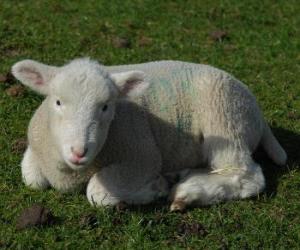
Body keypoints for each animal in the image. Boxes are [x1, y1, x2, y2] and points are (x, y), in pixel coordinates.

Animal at [11, 58, 288, 211]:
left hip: (224, 119)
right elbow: (31, 178)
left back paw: (188, 192)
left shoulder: (142, 157)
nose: (79, 151)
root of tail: (257, 110)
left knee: (247, 176)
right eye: (57, 102)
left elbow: (96, 192)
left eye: (106, 107)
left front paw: (155, 188)